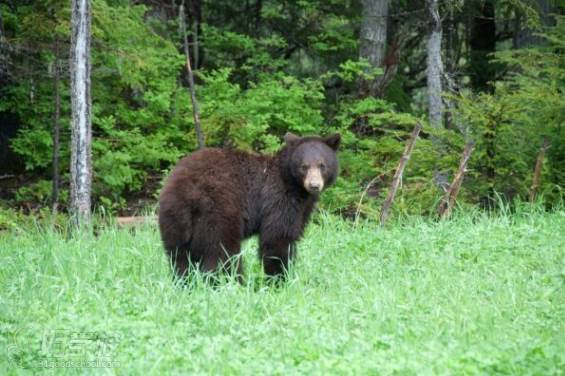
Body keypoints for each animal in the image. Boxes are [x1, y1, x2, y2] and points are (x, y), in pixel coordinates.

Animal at [158, 132, 340, 280]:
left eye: (322, 165)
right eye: (304, 166)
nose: (314, 185)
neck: (295, 185)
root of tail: (187, 191)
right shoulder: (279, 199)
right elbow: (277, 238)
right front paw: (279, 279)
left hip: (173, 218)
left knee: (178, 256)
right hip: (218, 211)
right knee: (222, 253)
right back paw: (231, 283)